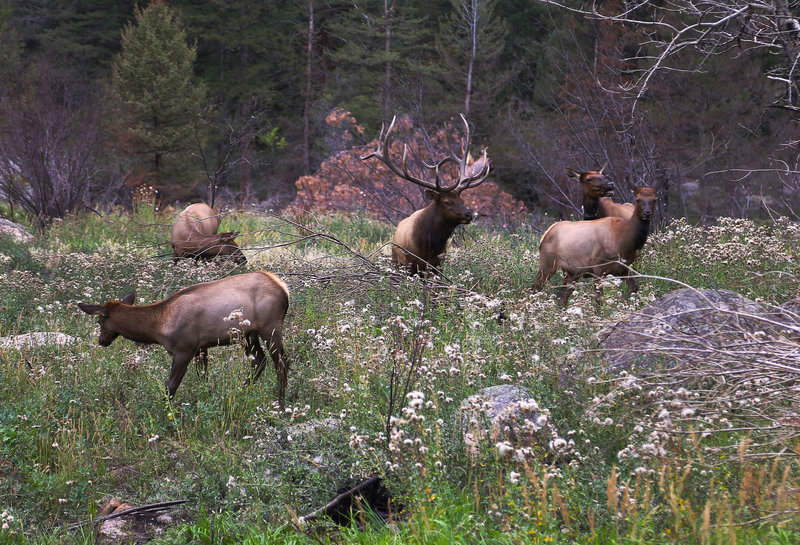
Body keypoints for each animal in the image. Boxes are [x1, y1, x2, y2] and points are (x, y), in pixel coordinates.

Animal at [77, 270, 290, 404]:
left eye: (100, 321)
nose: (101, 341)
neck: (158, 326)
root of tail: (284, 288)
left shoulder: (184, 349)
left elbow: (170, 387)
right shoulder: (201, 348)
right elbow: (204, 380)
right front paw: (208, 400)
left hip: (270, 327)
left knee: (282, 362)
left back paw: (280, 403)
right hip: (247, 334)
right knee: (259, 360)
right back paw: (242, 391)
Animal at [360, 115, 488, 276]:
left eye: (462, 199)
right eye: (447, 202)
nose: (469, 214)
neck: (431, 245)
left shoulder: (438, 265)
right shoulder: (412, 265)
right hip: (397, 262)